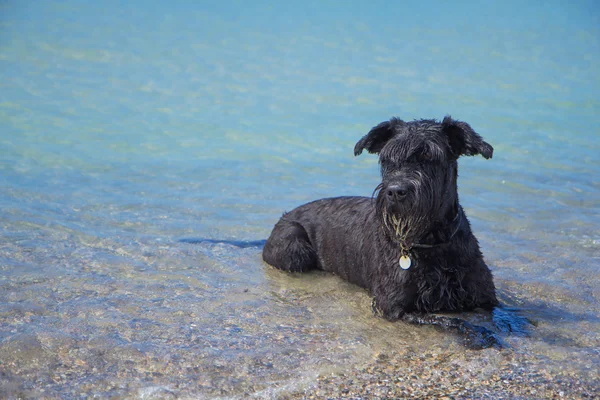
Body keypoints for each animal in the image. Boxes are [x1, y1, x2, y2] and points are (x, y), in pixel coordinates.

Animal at [264, 115, 528, 346]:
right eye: (387, 159)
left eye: (428, 155)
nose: (395, 191)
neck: (433, 242)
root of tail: (286, 216)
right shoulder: (393, 307)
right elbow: (449, 321)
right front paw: (479, 334)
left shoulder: (483, 296)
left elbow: (503, 312)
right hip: (294, 246)